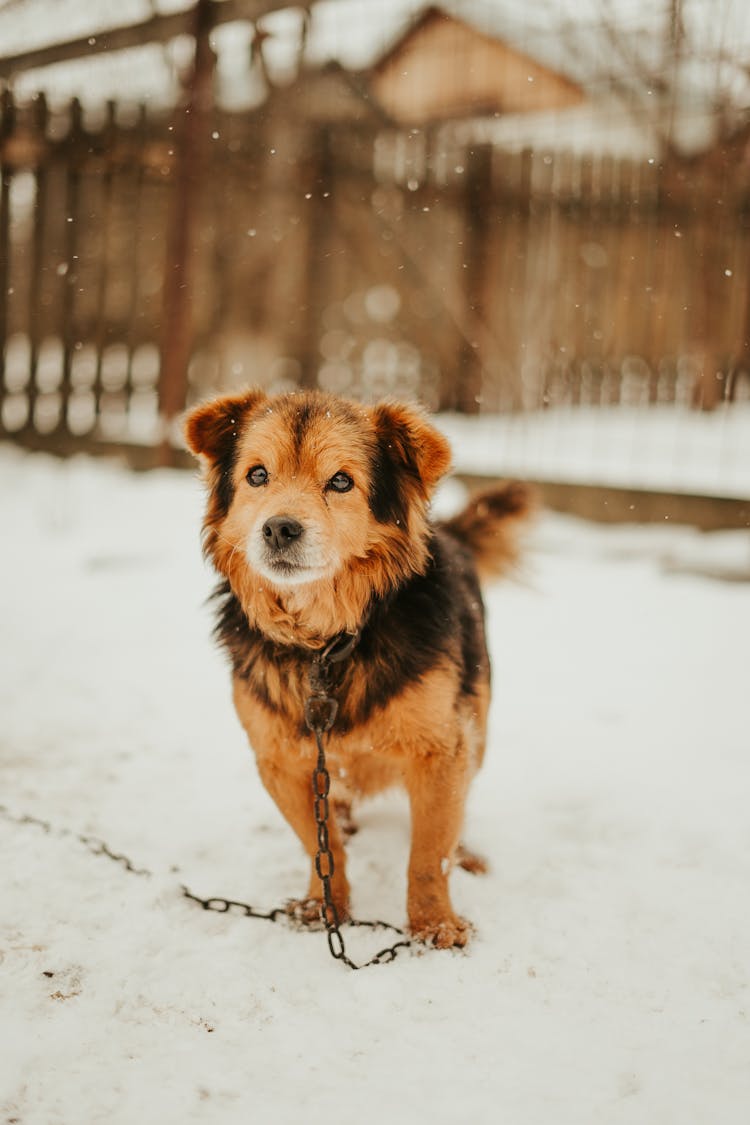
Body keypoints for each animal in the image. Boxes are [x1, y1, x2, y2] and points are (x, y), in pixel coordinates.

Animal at [184, 389, 530, 949]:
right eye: (257, 475)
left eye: (341, 481)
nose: (279, 528)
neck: (326, 644)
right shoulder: (279, 759)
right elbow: (317, 845)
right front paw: (326, 906)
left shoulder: (441, 750)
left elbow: (429, 853)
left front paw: (434, 927)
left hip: (476, 721)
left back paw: (466, 853)